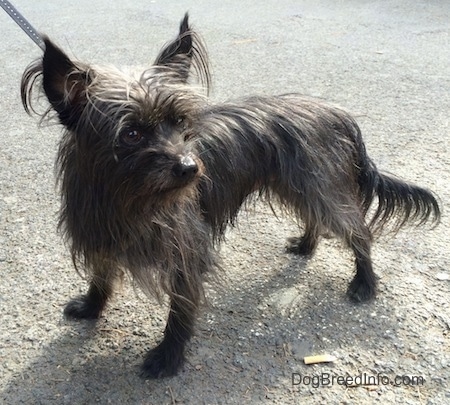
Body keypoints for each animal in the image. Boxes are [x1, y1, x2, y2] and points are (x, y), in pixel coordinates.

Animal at [20, 13, 440, 378]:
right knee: (316, 219)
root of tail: (339, 113)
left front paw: (168, 356)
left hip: (319, 187)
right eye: (131, 133)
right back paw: (306, 245)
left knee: (358, 231)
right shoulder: (99, 236)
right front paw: (92, 307)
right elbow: (101, 275)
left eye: (180, 121)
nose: (190, 168)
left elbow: (180, 309)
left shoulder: (187, 252)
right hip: (298, 187)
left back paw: (365, 283)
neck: (126, 198)